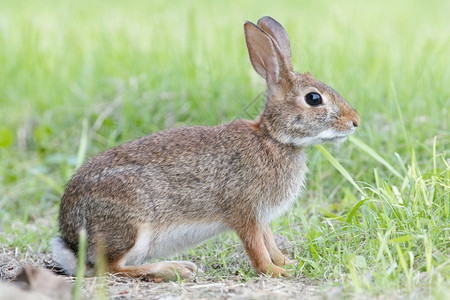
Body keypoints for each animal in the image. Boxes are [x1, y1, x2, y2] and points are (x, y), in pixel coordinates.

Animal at [51, 15, 360, 280]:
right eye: (313, 98)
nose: (355, 121)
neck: (272, 138)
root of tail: (71, 242)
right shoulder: (245, 212)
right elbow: (256, 249)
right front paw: (277, 272)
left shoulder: (262, 218)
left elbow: (269, 242)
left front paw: (289, 263)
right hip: (131, 225)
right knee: (112, 268)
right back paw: (174, 269)